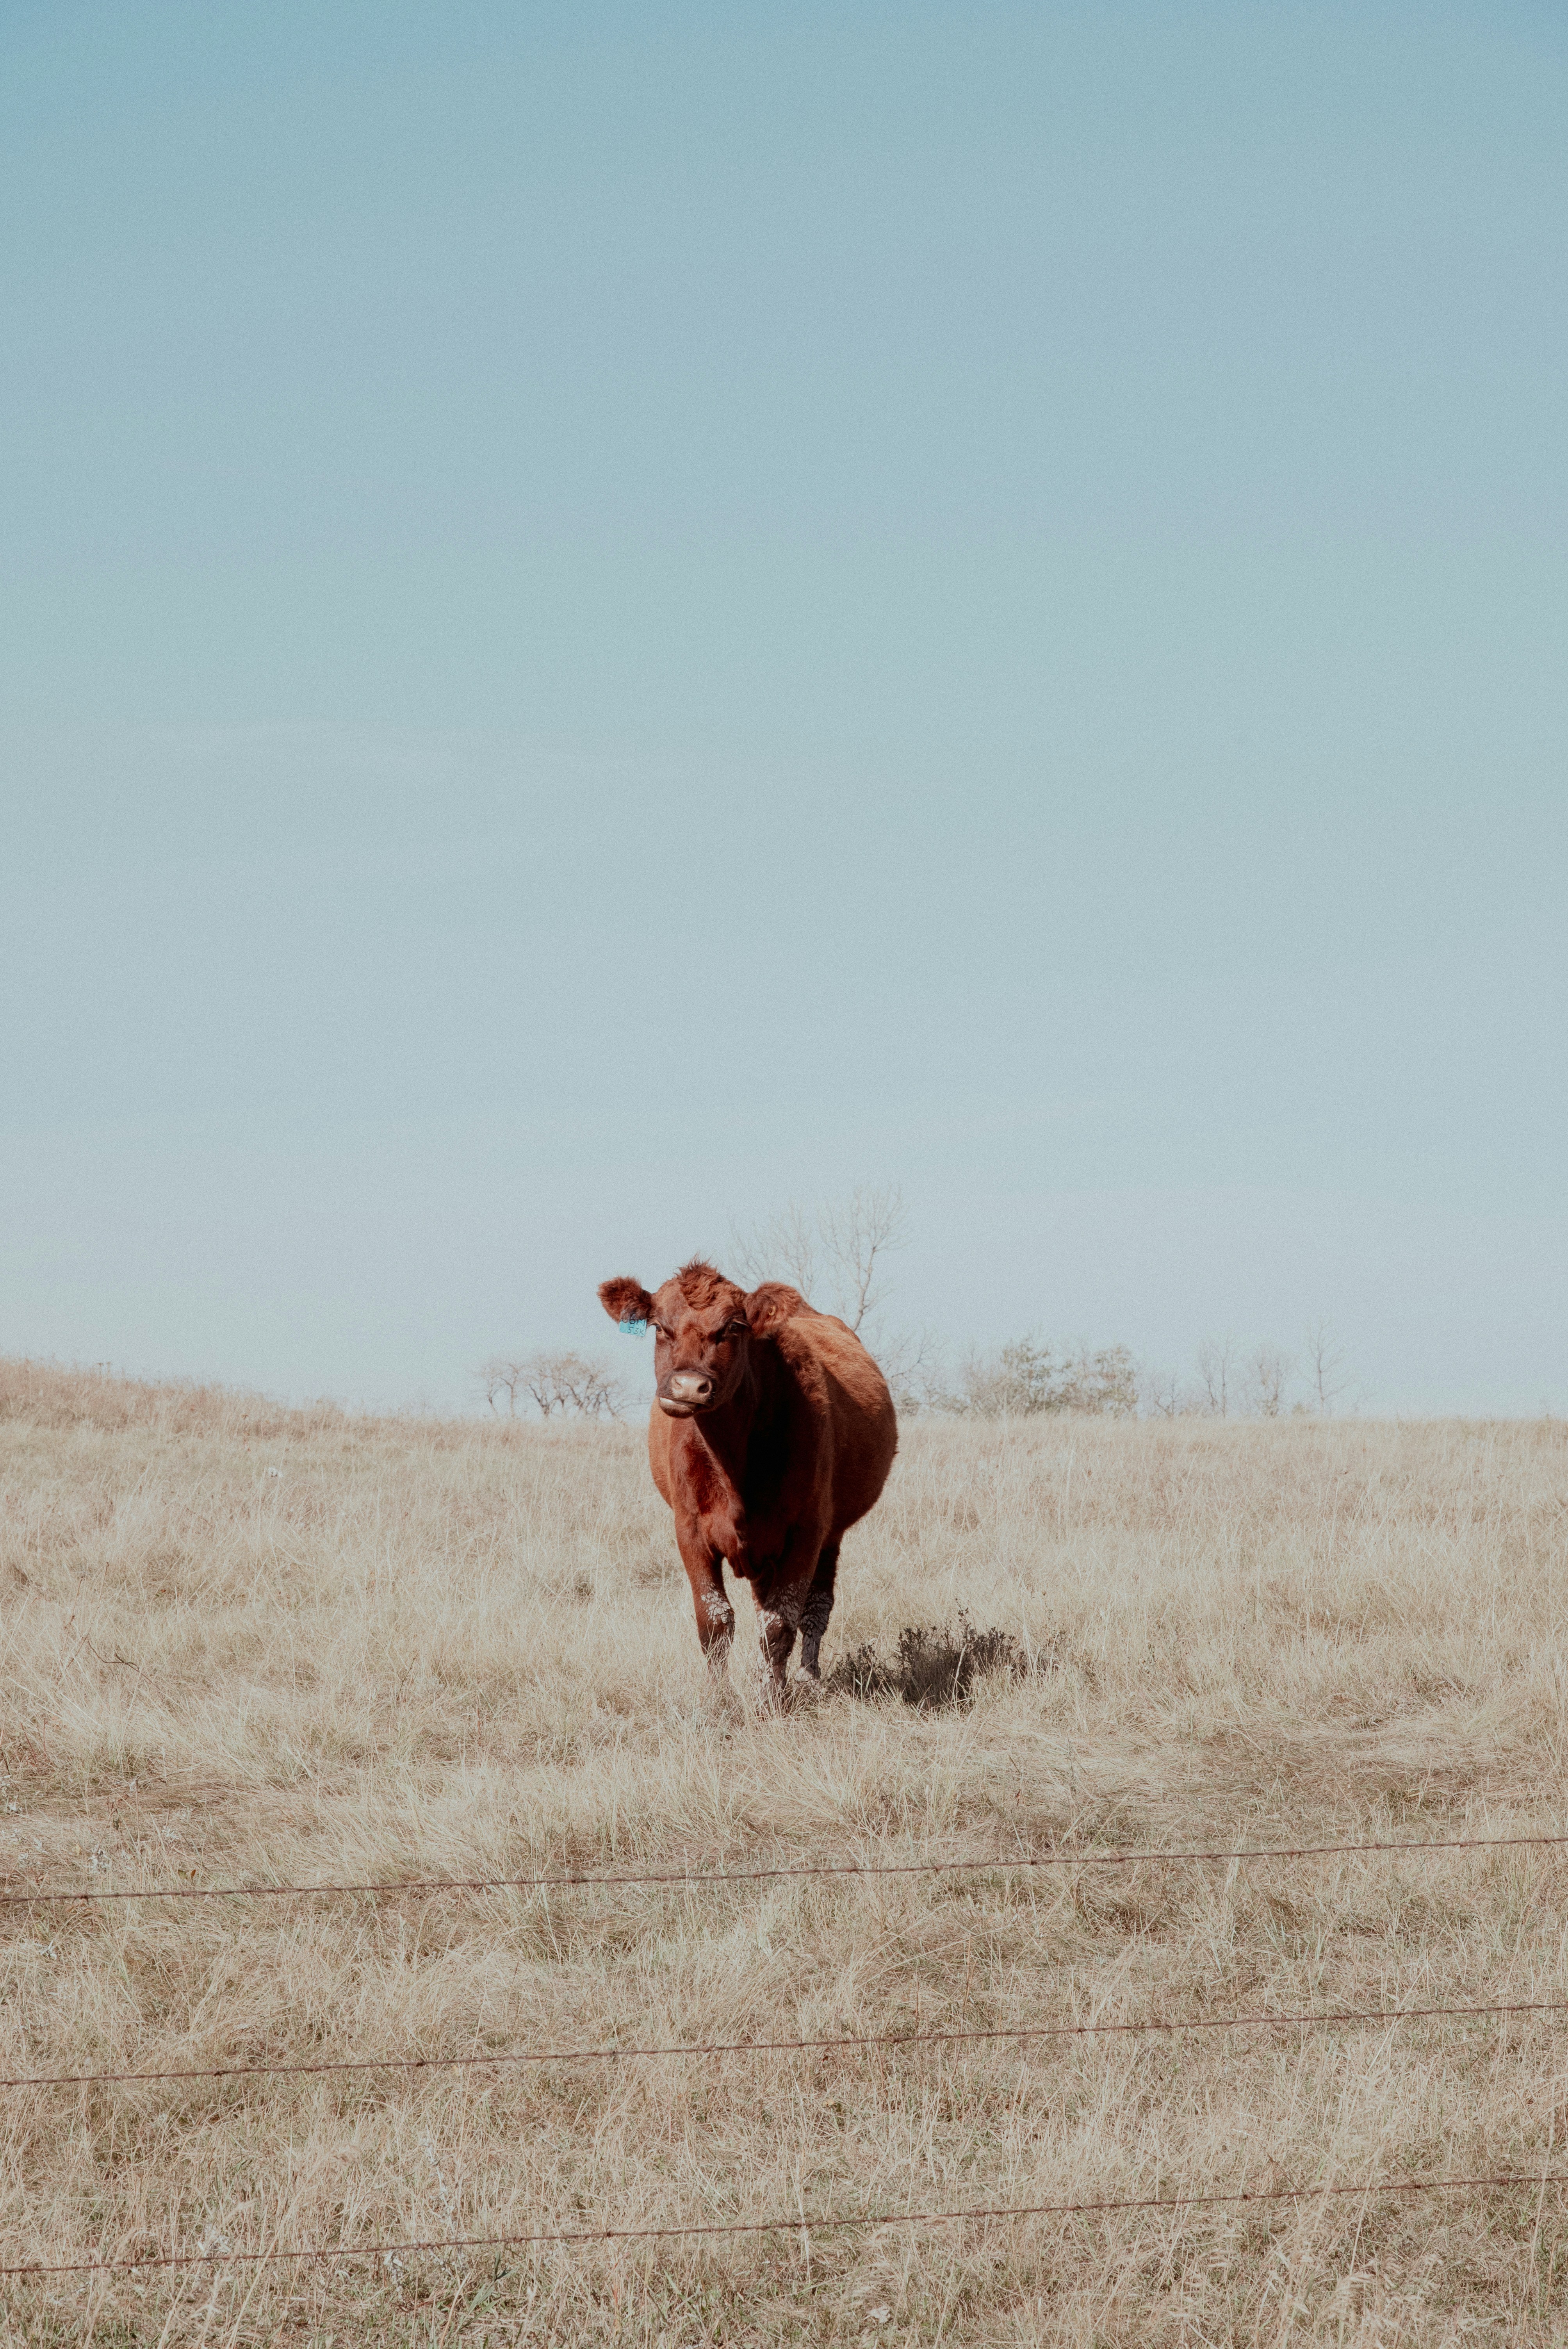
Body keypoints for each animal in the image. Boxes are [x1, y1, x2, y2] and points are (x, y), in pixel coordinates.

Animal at [597, 1259, 897, 1700]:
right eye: (659, 1327)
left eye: (733, 1327)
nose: (688, 1386)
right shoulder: (689, 1529)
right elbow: (715, 1619)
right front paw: (718, 1695)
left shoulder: (806, 1531)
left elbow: (780, 1623)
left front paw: (769, 1698)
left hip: (830, 1535)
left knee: (815, 1610)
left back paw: (807, 1679)